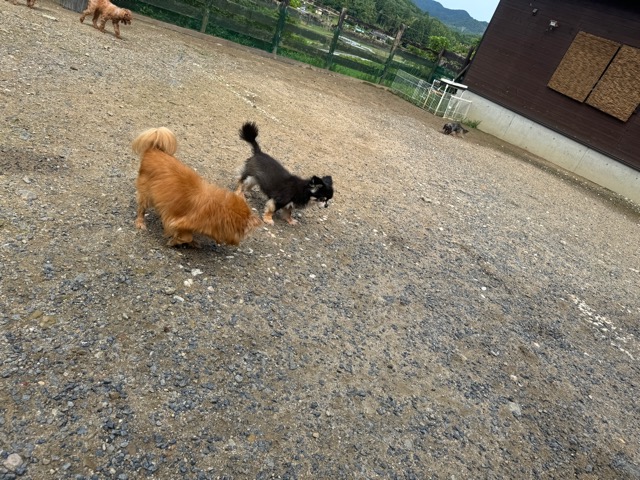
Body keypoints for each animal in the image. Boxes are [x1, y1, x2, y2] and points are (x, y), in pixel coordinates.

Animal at [132, 127, 261, 247]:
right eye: (245, 232)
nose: (239, 242)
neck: (220, 208)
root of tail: (154, 150)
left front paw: (192, 243)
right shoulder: (176, 221)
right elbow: (186, 236)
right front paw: (173, 242)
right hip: (146, 194)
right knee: (141, 209)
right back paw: (140, 223)